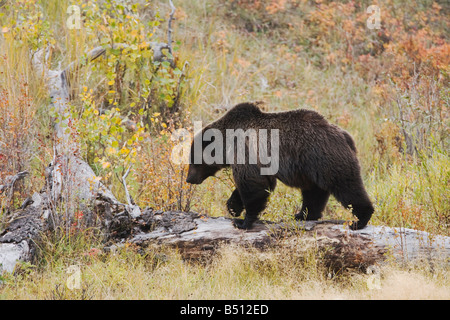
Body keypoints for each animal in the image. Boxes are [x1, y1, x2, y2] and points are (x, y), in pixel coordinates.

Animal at [185, 102, 372, 230]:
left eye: (192, 160)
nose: (189, 179)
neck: (227, 144)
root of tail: (345, 135)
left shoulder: (246, 150)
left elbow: (253, 185)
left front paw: (243, 221)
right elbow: (253, 184)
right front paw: (233, 207)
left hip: (325, 157)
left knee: (346, 186)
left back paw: (360, 220)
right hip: (311, 169)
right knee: (314, 192)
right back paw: (302, 215)